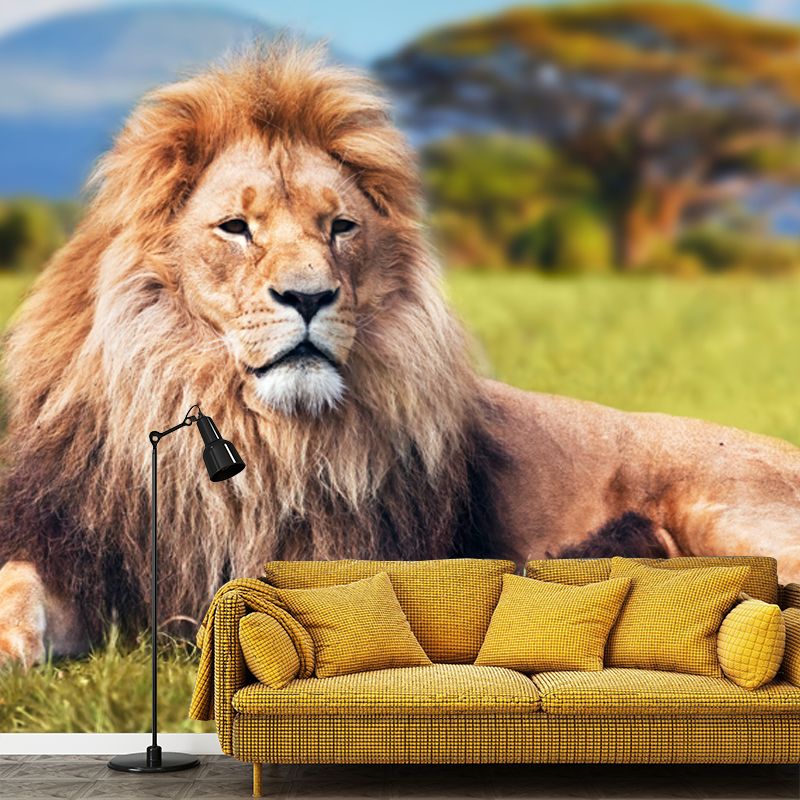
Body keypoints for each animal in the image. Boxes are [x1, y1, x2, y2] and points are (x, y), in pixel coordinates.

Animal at [0, 42, 799, 667]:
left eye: (340, 227)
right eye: (235, 227)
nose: (309, 296)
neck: (258, 430)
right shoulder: (81, 552)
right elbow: (19, 584)